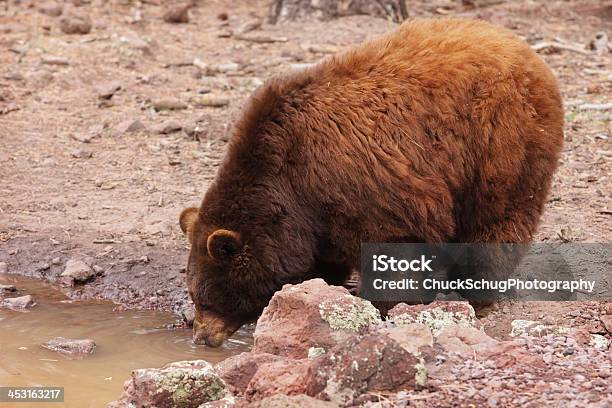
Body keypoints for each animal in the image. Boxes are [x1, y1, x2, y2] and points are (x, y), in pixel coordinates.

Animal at [178, 17, 564, 346]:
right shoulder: (313, 216)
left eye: (205, 297)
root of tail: (524, 49)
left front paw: (382, 305)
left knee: (497, 220)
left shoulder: (367, 187)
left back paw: (476, 291)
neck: (287, 182)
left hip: (500, 142)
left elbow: (393, 250)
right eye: (194, 294)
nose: (201, 337)